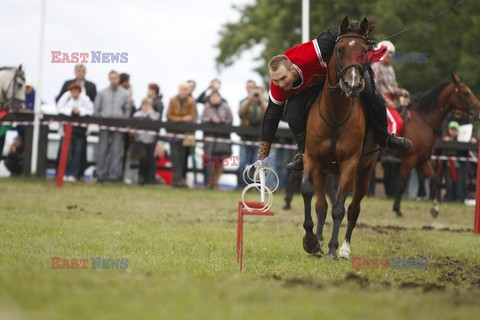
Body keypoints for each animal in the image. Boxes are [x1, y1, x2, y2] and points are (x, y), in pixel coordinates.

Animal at [300, 16, 378, 258]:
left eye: (365, 51)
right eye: (340, 48)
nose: (352, 85)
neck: (335, 114)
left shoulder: (349, 164)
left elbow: (339, 209)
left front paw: (333, 249)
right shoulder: (312, 159)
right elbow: (310, 194)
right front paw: (311, 241)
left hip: (365, 171)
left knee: (353, 209)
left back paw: (343, 248)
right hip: (324, 171)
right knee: (321, 205)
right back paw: (319, 241)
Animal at [392, 75, 478, 218]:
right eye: (466, 93)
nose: (478, 109)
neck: (423, 121)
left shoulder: (422, 161)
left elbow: (437, 181)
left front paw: (435, 208)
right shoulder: (409, 160)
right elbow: (401, 184)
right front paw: (397, 210)